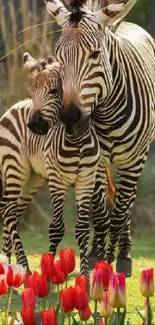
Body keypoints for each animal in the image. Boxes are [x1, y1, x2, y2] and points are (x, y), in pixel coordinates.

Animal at [0, 52, 100, 274]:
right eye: (32, 93)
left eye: (54, 91)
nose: (33, 125)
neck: (77, 141)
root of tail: (14, 106)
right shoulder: (57, 181)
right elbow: (56, 228)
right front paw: (49, 273)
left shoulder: (86, 181)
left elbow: (82, 229)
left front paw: (86, 276)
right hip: (15, 168)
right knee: (9, 213)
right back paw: (25, 268)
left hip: (32, 178)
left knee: (12, 212)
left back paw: (7, 264)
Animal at [41, 0, 155, 276]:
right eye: (59, 57)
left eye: (94, 54)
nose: (69, 117)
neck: (108, 111)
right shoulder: (96, 158)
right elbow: (100, 214)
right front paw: (97, 258)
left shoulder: (134, 159)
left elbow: (119, 214)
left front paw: (114, 263)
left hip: (137, 156)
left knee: (127, 204)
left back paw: (124, 255)